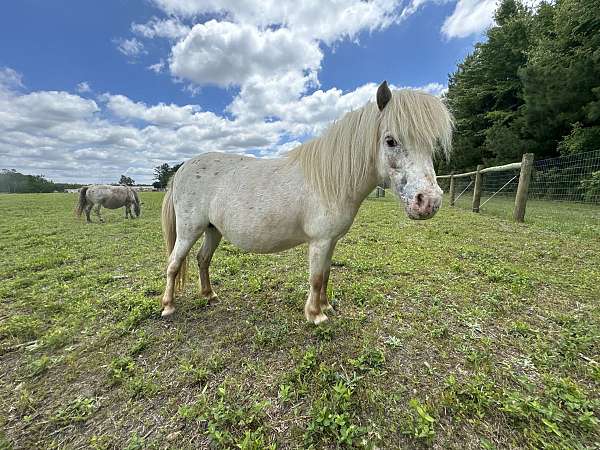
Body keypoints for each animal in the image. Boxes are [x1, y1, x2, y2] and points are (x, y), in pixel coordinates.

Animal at [158, 82, 450, 324]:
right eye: (390, 141)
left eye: (432, 144)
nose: (429, 201)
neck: (331, 181)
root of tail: (182, 169)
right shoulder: (319, 241)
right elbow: (316, 277)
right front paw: (315, 315)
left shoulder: (331, 241)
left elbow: (327, 274)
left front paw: (326, 306)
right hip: (189, 230)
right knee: (174, 263)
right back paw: (168, 306)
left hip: (213, 230)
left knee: (202, 259)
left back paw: (209, 295)